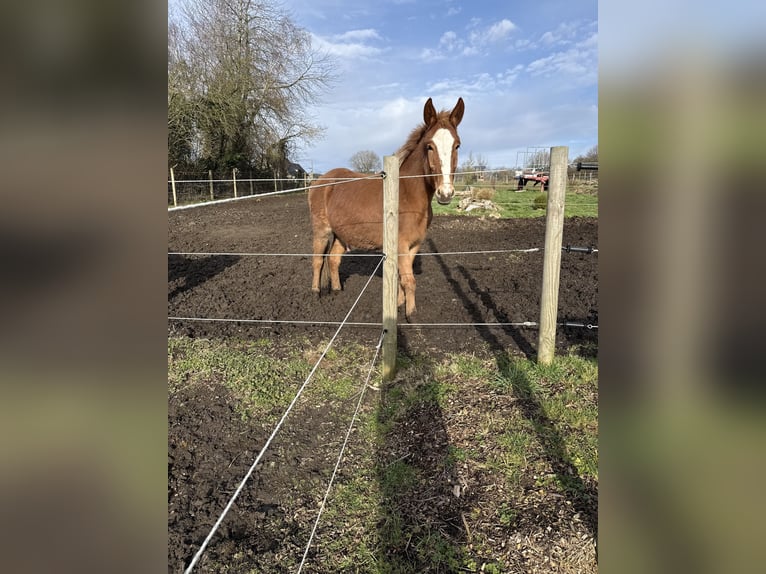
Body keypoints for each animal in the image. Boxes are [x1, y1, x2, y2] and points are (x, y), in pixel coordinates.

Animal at [308, 97, 464, 320]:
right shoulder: (401, 245)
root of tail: (320, 180)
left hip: (341, 234)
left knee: (333, 259)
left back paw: (337, 291)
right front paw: (411, 316)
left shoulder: (413, 245)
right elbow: (409, 280)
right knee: (317, 260)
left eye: (457, 145)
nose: (445, 193)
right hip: (322, 231)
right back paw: (315, 293)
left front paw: (398, 304)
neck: (406, 193)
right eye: (429, 146)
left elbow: (401, 277)